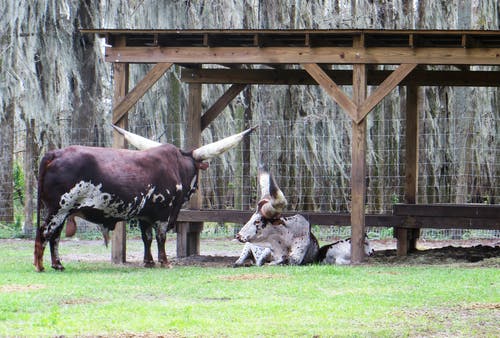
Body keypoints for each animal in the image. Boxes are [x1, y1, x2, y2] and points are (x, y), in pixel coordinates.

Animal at [34, 125, 254, 270]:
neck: (177, 166)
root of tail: (55, 153)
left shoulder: (144, 215)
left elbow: (146, 237)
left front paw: (148, 262)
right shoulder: (164, 214)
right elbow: (161, 237)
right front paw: (164, 262)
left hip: (63, 211)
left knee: (54, 236)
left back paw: (57, 264)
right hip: (58, 208)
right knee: (45, 232)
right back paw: (40, 265)